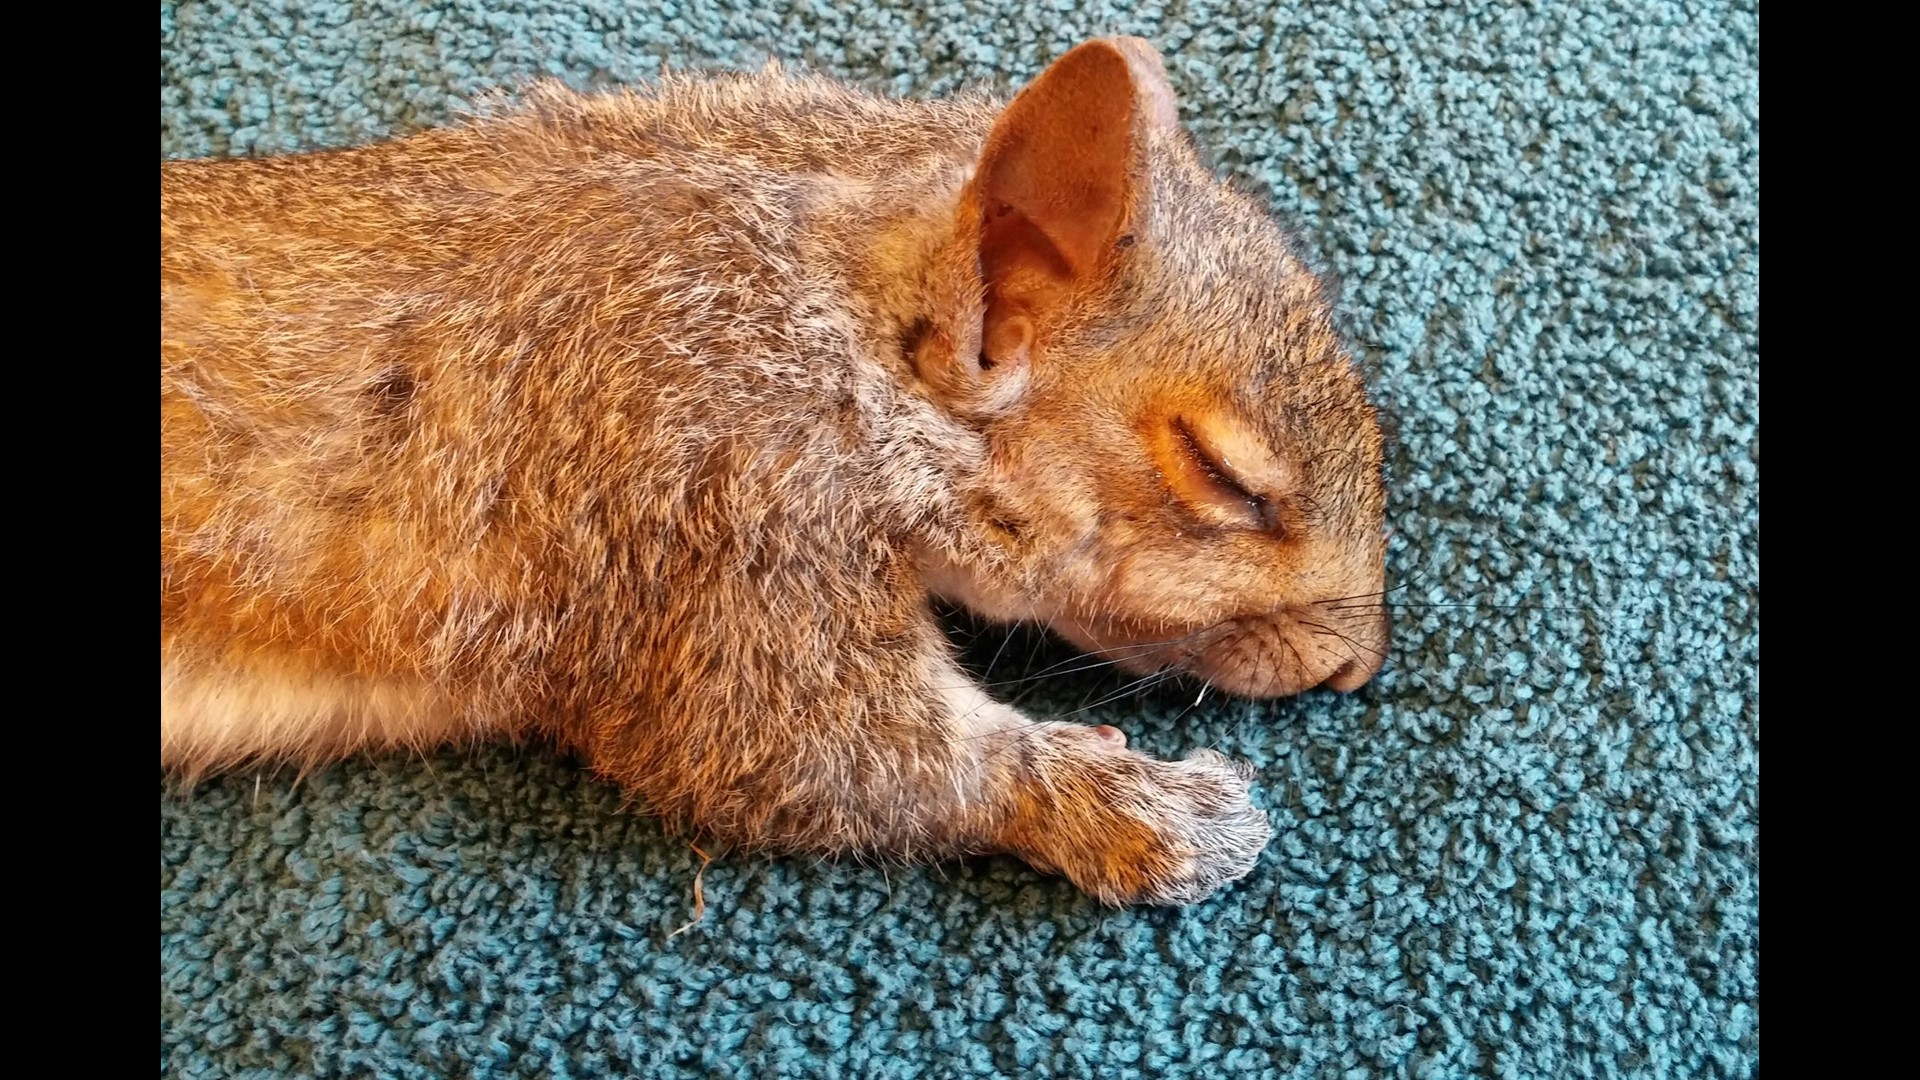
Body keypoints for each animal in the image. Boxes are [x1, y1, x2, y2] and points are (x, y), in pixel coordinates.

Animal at [160, 37, 1389, 906]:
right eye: (1224, 479)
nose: (1358, 667)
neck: (816, 289)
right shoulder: (702, 493)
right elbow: (804, 743)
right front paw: (1131, 805)